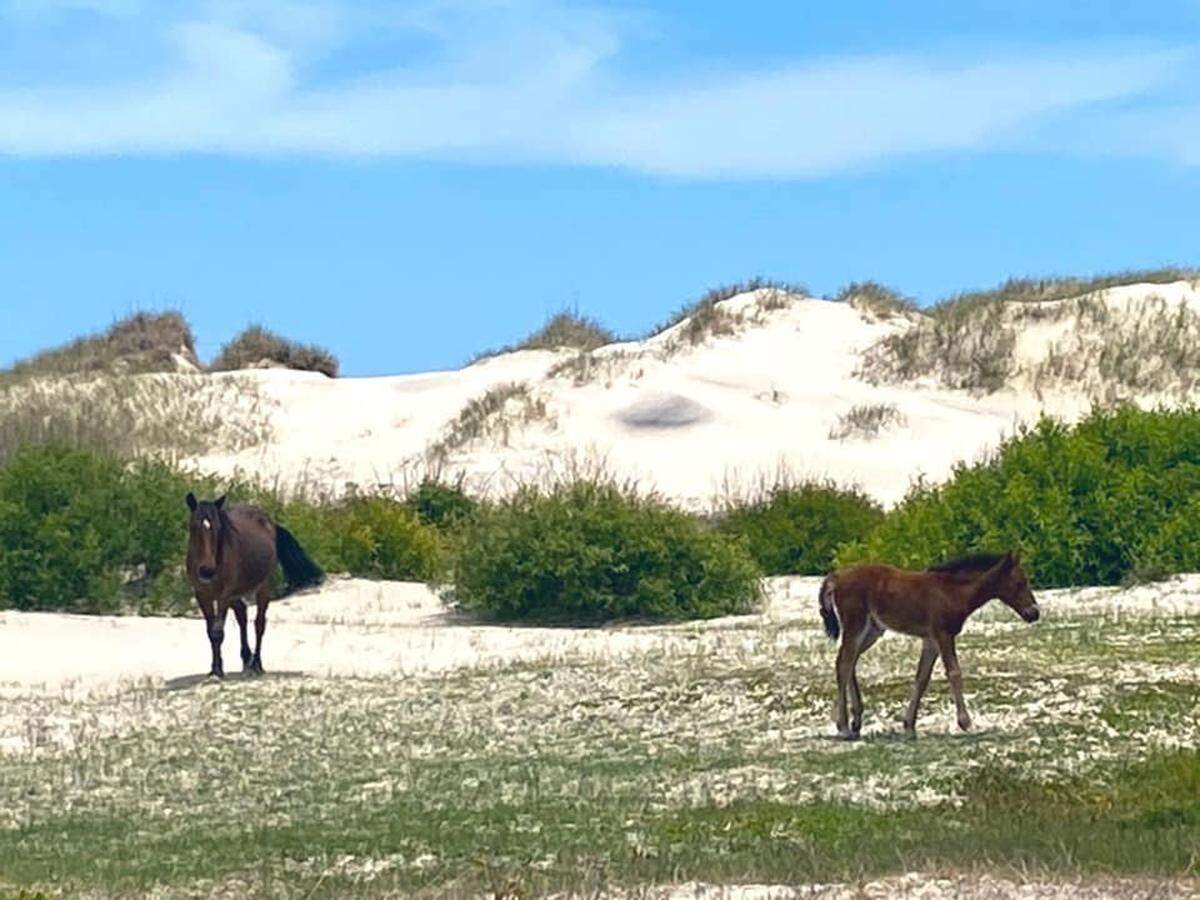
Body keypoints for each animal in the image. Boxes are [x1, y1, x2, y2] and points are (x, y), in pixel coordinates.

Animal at [185, 493, 324, 679]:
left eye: (218, 528)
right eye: (193, 527)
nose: (207, 571)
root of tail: (270, 523)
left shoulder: (223, 596)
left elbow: (218, 632)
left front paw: (218, 670)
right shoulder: (202, 595)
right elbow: (211, 632)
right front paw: (214, 669)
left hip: (262, 588)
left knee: (259, 624)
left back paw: (257, 663)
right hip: (236, 593)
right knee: (242, 614)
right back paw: (246, 658)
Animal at [817, 551, 1039, 739]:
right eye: (1020, 582)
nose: (1034, 613)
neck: (953, 591)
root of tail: (837, 576)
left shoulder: (930, 640)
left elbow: (922, 678)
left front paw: (909, 725)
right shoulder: (943, 635)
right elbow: (954, 673)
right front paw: (965, 722)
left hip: (873, 631)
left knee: (850, 661)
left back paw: (856, 721)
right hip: (856, 625)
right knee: (844, 663)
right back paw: (844, 726)